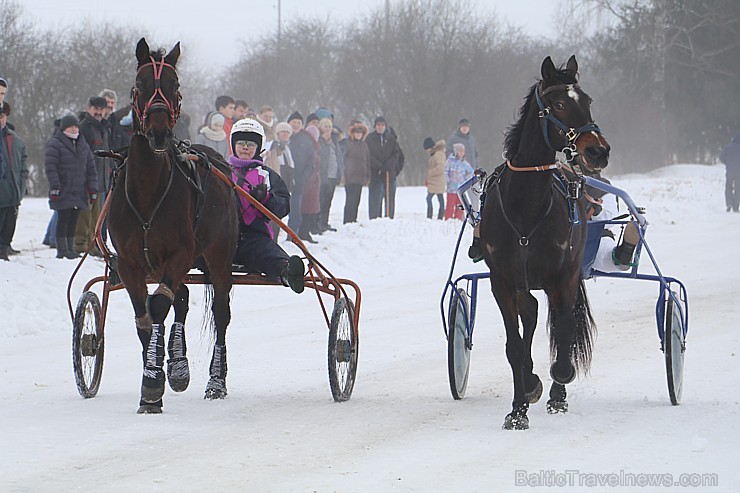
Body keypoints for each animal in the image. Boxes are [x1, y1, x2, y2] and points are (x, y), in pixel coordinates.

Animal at [107, 38, 238, 414]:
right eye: (139, 85)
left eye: (174, 85)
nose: (159, 133)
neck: (147, 191)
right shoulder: (130, 262)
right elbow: (144, 318)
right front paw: (154, 379)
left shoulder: (181, 252)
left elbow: (158, 307)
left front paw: (154, 383)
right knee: (181, 297)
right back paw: (177, 365)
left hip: (219, 256)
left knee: (220, 313)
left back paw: (215, 381)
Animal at [482, 55, 608, 428]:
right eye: (560, 103)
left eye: (588, 100)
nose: (598, 150)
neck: (525, 206)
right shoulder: (502, 281)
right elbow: (514, 346)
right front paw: (518, 408)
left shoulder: (560, 276)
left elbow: (564, 332)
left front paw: (558, 380)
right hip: (525, 283)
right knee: (533, 314)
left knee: (561, 322)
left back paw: (556, 391)